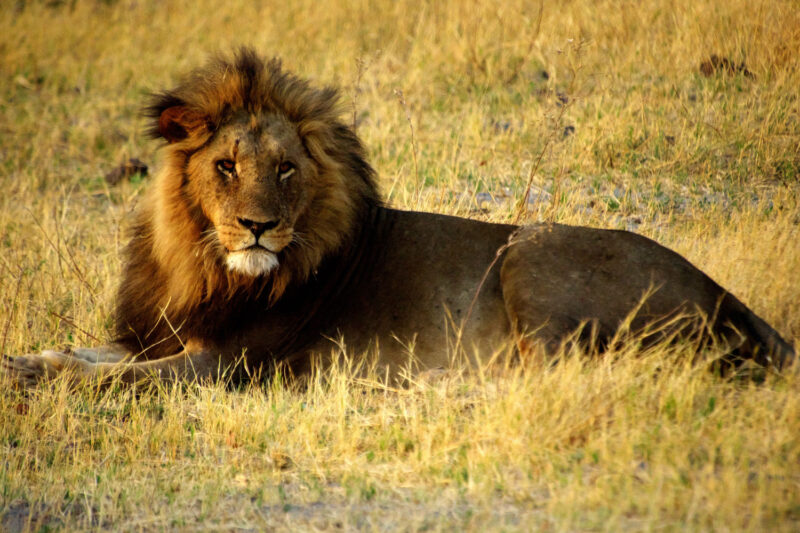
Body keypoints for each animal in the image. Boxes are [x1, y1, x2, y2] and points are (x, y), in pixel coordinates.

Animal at [3, 47, 796, 384]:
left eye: (286, 170)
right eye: (225, 166)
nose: (259, 227)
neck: (203, 264)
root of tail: (729, 295)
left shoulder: (228, 362)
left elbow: (113, 379)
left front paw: (39, 381)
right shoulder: (159, 334)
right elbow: (84, 354)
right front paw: (24, 360)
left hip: (530, 255)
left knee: (570, 376)